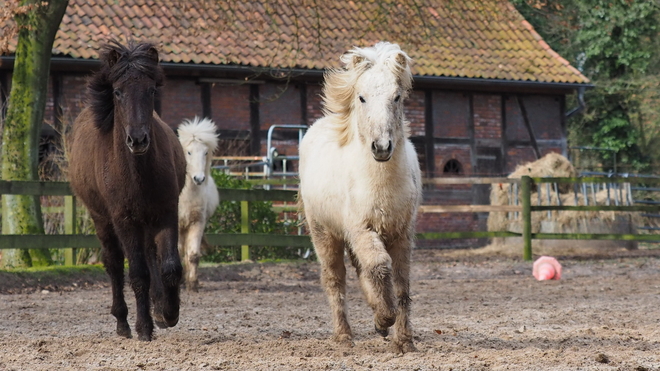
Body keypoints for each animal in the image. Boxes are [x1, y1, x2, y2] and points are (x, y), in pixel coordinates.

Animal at [69, 40, 186, 340]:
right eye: (118, 92)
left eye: (151, 90)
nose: (138, 140)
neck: (137, 173)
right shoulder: (124, 219)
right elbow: (137, 273)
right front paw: (144, 327)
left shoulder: (167, 212)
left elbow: (170, 266)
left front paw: (169, 313)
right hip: (103, 219)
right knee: (113, 263)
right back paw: (122, 321)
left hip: (146, 221)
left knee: (150, 254)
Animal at [298, 42, 420, 354]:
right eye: (362, 98)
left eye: (397, 97)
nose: (382, 147)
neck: (380, 184)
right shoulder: (361, 229)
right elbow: (379, 266)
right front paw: (385, 318)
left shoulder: (402, 233)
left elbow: (401, 282)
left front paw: (403, 340)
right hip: (324, 233)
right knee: (335, 279)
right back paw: (344, 335)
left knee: (361, 270)